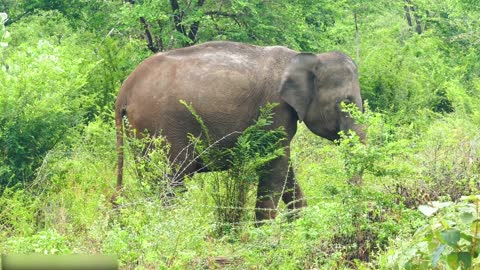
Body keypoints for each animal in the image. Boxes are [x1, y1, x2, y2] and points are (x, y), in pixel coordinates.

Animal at [114, 40, 364, 221]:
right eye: (346, 103)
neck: (306, 58)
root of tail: (126, 87)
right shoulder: (275, 108)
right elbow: (276, 164)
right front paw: (265, 234)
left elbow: (285, 169)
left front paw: (300, 223)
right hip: (161, 126)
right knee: (171, 180)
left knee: (151, 179)